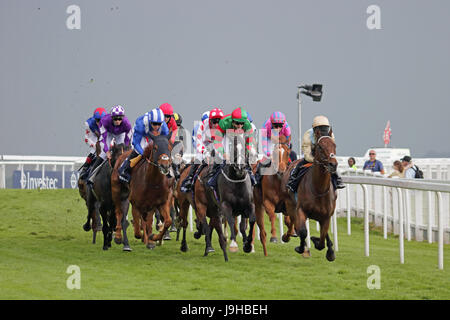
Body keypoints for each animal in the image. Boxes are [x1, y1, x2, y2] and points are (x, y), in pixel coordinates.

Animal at [282, 131, 338, 262]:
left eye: (334, 145)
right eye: (320, 147)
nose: (333, 164)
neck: (319, 189)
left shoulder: (326, 216)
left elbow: (322, 239)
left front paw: (328, 250)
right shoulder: (301, 210)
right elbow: (303, 231)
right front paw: (301, 248)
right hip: (290, 205)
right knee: (294, 223)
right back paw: (287, 236)